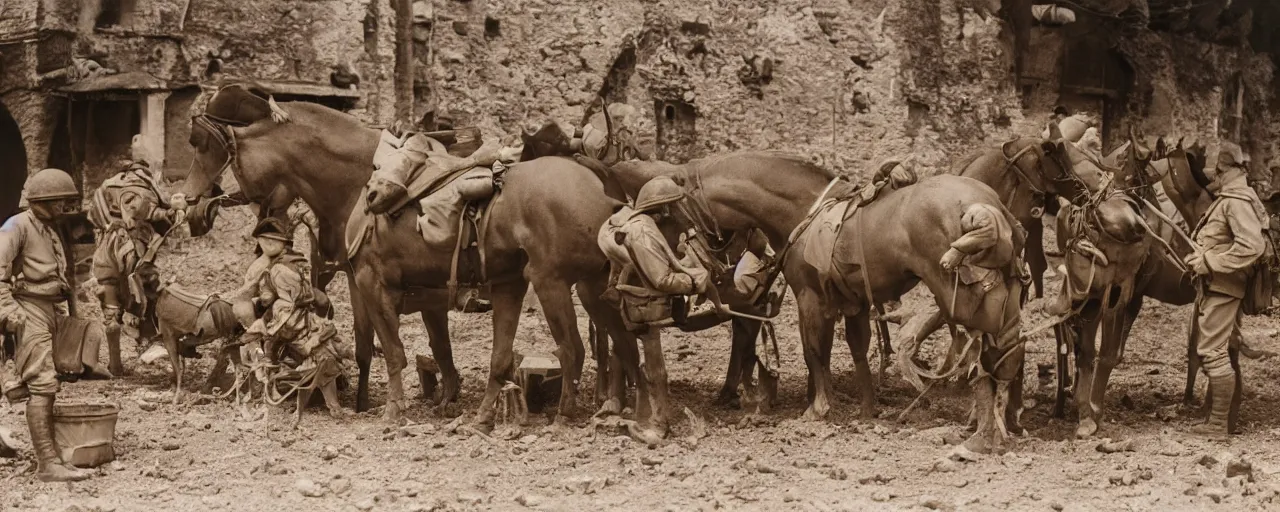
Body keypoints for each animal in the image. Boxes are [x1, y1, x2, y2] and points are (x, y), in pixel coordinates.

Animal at [599, 151, 1029, 453]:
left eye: (679, 209)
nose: (712, 261)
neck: (803, 210)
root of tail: (989, 205)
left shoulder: (810, 299)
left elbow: (814, 352)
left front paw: (818, 409)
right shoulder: (855, 303)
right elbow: (857, 352)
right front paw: (867, 411)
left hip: (963, 298)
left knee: (990, 356)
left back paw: (983, 435)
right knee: (1007, 350)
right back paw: (998, 423)